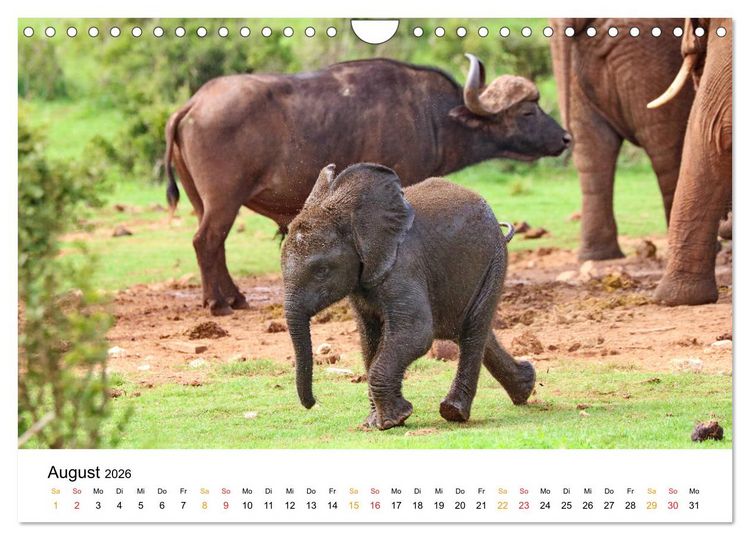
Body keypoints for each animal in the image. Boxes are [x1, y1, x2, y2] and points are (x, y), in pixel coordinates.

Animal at [281, 163, 535, 430]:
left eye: (322, 271)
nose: (312, 403)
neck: (353, 218)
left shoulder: (403, 265)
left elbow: (416, 333)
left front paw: (393, 420)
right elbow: (369, 338)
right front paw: (374, 423)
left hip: (494, 261)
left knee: (472, 331)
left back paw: (454, 412)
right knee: (467, 329)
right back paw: (525, 387)